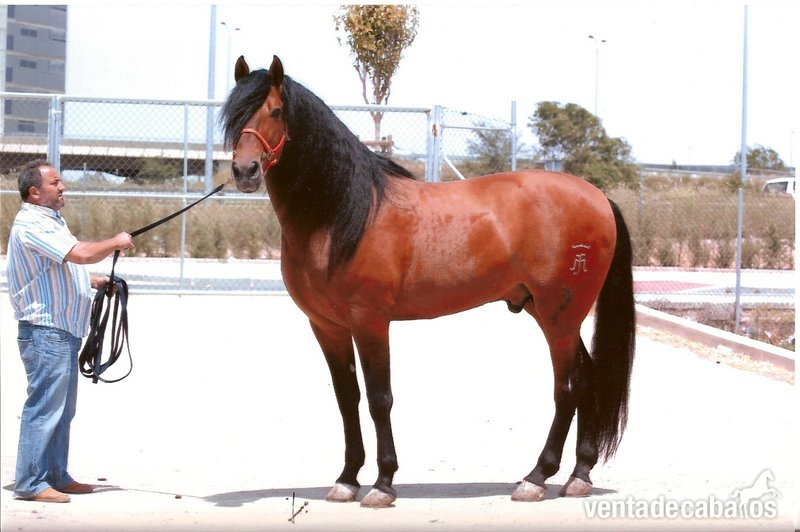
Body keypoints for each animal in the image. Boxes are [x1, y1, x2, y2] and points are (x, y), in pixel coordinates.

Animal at [221, 55, 636, 508]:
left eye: (277, 111)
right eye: (234, 113)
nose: (245, 170)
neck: (343, 215)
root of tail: (598, 197)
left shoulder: (370, 322)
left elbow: (380, 399)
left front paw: (383, 483)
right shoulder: (327, 327)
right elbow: (348, 398)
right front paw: (347, 479)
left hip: (559, 316)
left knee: (569, 387)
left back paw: (537, 478)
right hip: (552, 314)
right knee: (589, 378)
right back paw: (579, 474)